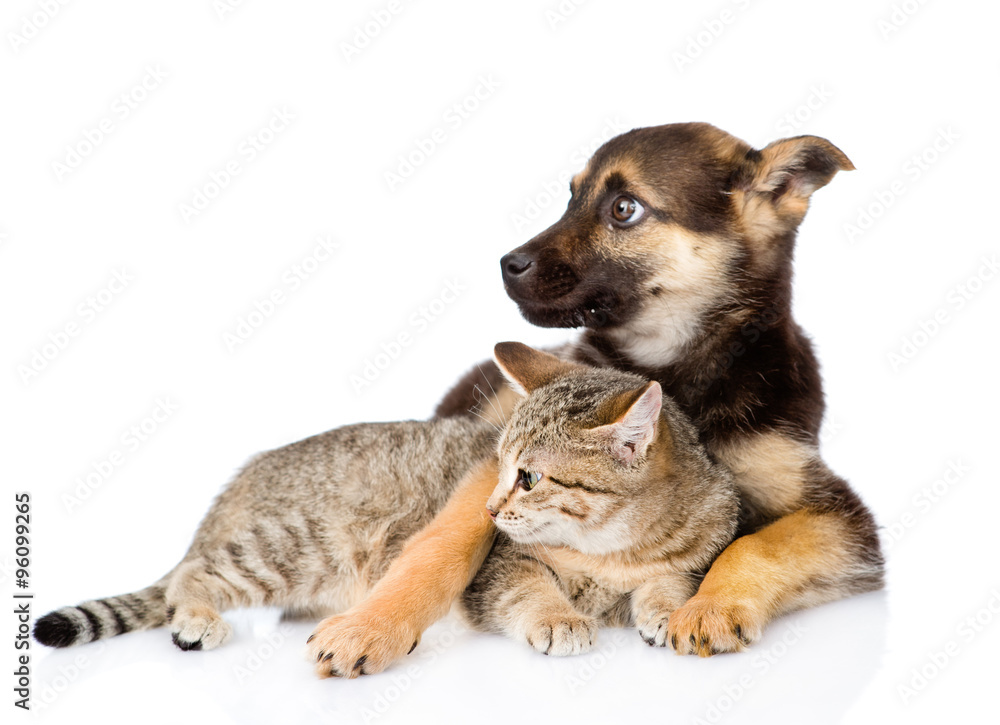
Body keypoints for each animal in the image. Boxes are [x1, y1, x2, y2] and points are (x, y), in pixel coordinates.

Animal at [35, 342, 740, 672]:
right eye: (499, 465)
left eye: (531, 477)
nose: (489, 508)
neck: (614, 549)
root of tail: (233, 486)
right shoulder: (498, 570)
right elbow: (529, 590)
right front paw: (559, 618)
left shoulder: (689, 554)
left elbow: (669, 582)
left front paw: (663, 610)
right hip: (293, 548)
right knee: (192, 573)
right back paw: (196, 618)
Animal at [304, 123, 884, 672]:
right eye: (571, 196)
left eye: (624, 208)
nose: (506, 264)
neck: (674, 370)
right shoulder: (490, 471)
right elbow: (447, 541)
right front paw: (371, 625)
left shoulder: (837, 513)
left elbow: (755, 545)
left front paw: (708, 607)